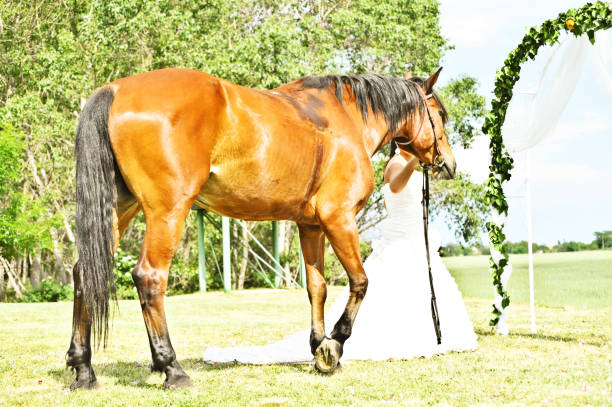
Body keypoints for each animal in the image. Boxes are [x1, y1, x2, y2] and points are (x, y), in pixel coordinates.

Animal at [65, 66, 454, 388]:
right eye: (440, 115)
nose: (448, 164)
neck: (347, 119)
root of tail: (116, 90)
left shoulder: (310, 226)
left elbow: (317, 288)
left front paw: (317, 347)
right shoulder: (339, 219)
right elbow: (360, 282)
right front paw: (334, 345)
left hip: (119, 210)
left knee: (84, 273)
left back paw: (84, 370)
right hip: (168, 212)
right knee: (149, 277)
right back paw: (172, 369)